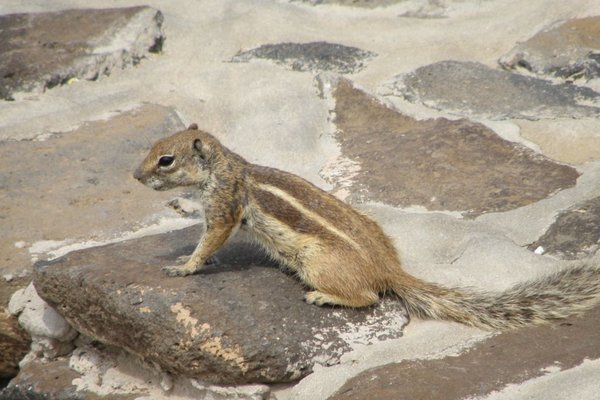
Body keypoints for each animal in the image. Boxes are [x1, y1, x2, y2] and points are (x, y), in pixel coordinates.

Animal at [135, 123, 600, 330]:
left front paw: (184, 266)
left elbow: (210, 240)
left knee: (368, 297)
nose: (136, 177)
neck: (225, 166)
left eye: (166, 160)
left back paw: (324, 296)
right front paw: (179, 205)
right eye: (152, 147)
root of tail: (388, 268)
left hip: (317, 263)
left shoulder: (225, 207)